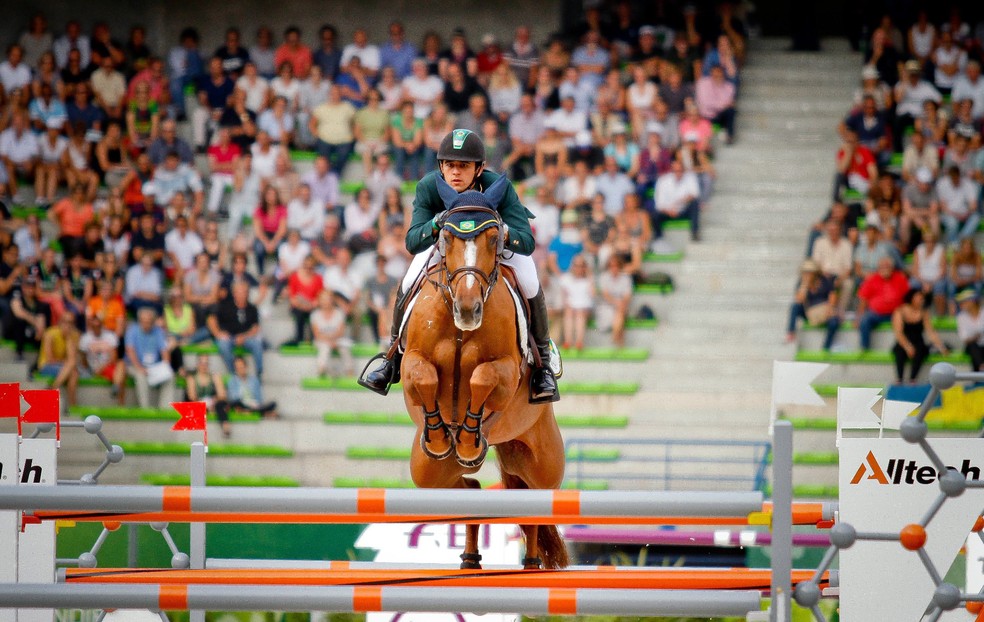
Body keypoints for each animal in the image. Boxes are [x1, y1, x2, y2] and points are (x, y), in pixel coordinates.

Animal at [400, 178, 568, 572]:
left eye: (494, 238)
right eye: (446, 238)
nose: (468, 309)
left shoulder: (507, 371)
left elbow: (482, 378)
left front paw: (467, 438)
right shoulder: (412, 361)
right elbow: (423, 376)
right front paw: (442, 435)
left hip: (543, 463)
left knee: (533, 502)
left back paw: (531, 563)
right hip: (430, 471)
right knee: (471, 492)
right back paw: (470, 558)